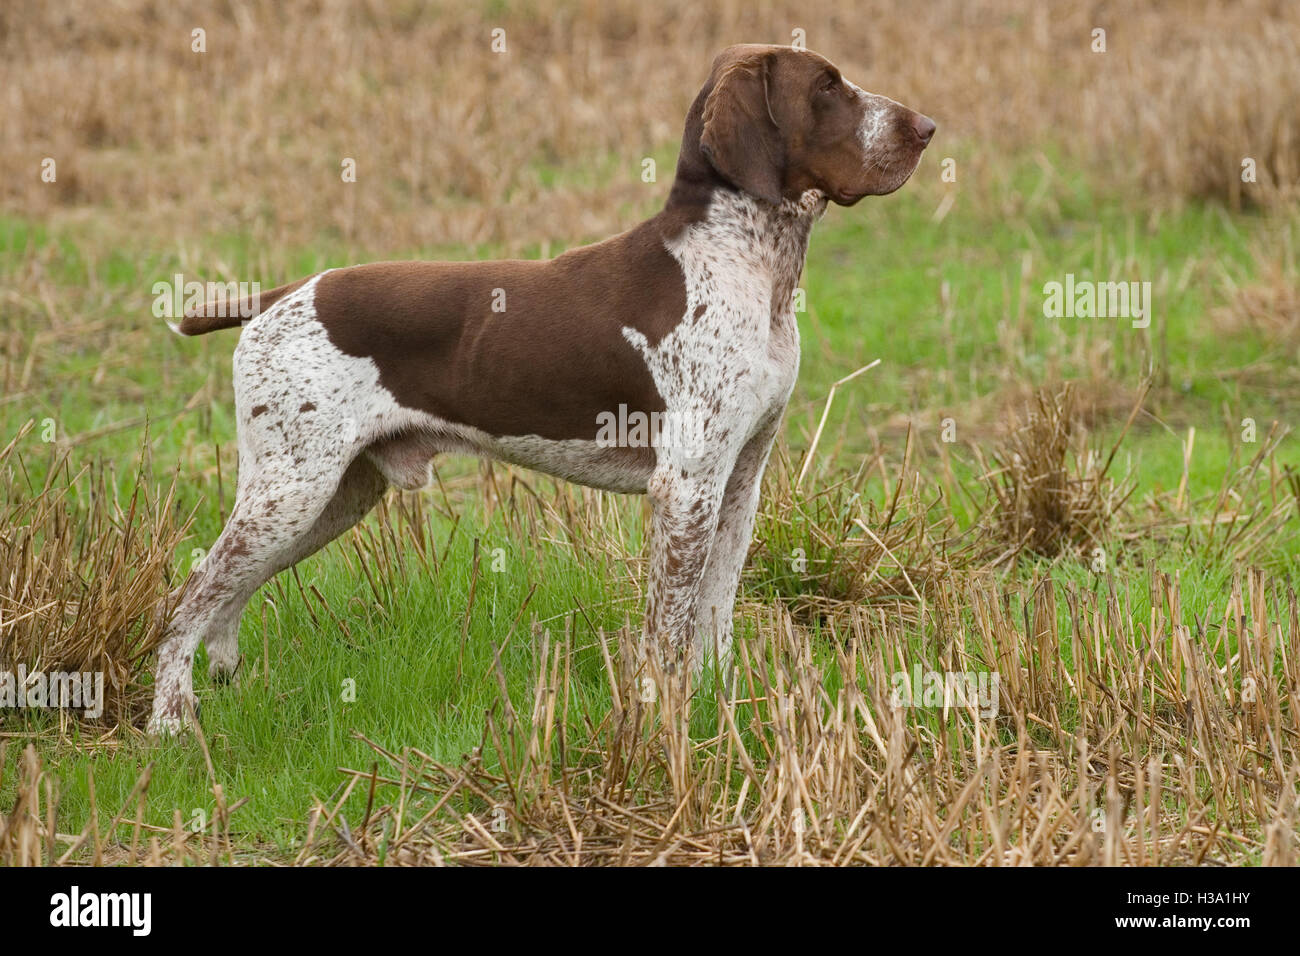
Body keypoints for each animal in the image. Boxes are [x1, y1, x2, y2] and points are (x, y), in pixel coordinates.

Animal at [147, 41, 930, 738]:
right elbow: (669, 630)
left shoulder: (738, 483)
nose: (925, 127)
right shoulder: (684, 489)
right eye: (827, 86)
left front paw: (720, 711)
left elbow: (713, 619)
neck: (745, 263)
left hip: (330, 496)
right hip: (290, 491)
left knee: (225, 596)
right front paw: (665, 721)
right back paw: (170, 722)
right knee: (189, 598)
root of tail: (280, 295)